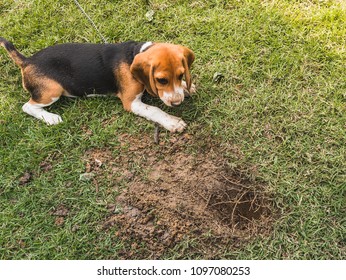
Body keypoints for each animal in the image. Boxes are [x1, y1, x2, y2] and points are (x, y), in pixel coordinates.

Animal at [0, 37, 195, 132]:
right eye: (161, 80)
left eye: (180, 75)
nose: (177, 103)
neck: (133, 55)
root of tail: (27, 61)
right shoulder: (131, 102)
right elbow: (155, 110)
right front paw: (172, 122)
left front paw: (187, 86)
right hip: (52, 90)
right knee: (27, 106)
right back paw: (50, 118)